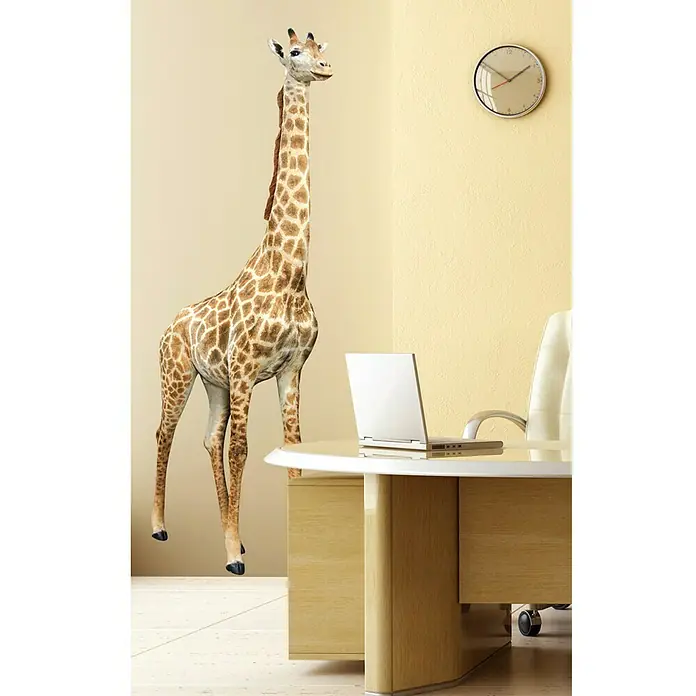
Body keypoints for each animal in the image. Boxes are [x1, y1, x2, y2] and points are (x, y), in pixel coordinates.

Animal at [150, 28, 332, 576]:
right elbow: (244, 450)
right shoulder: (249, 370)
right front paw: (232, 557)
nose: (324, 69)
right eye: (295, 52)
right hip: (178, 376)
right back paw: (163, 527)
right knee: (165, 434)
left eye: (321, 46)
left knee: (209, 437)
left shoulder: (291, 369)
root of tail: (168, 325)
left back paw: (236, 534)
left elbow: (294, 444)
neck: (291, 272)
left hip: (216, 383)